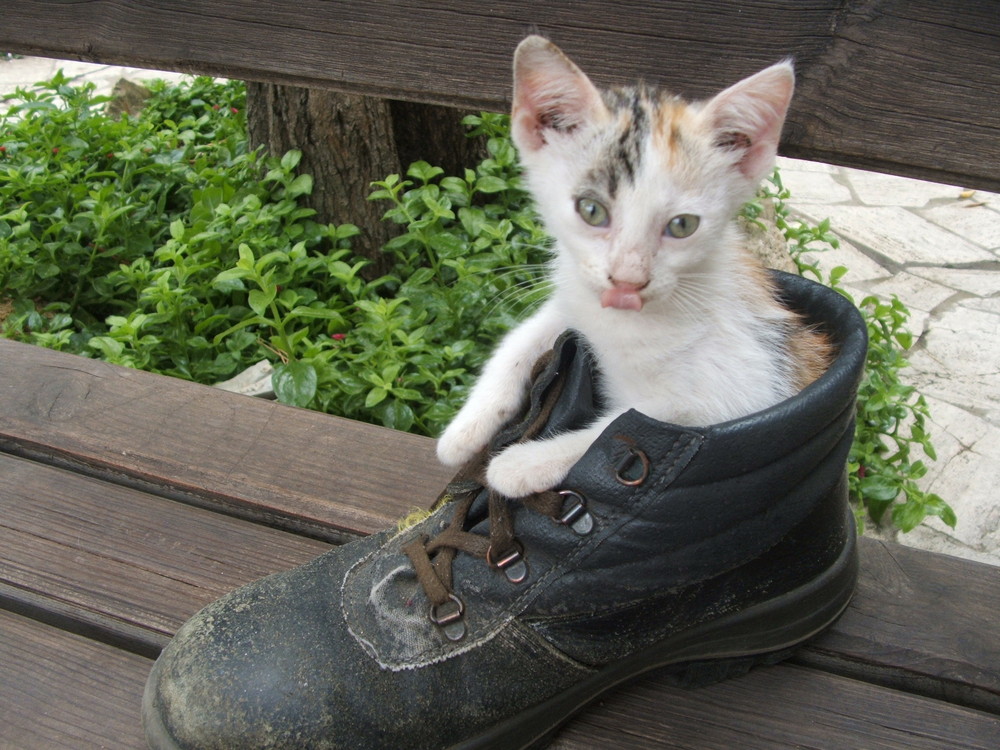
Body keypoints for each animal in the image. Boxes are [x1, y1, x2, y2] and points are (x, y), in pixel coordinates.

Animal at [438, 38, 836, 502]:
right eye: (591, 210)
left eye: (682, 226)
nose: (628, 282)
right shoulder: (577, 297)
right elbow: (518, 339)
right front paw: (464, 429)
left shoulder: (745, 395)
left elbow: (626, 422)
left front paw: (520, 464)